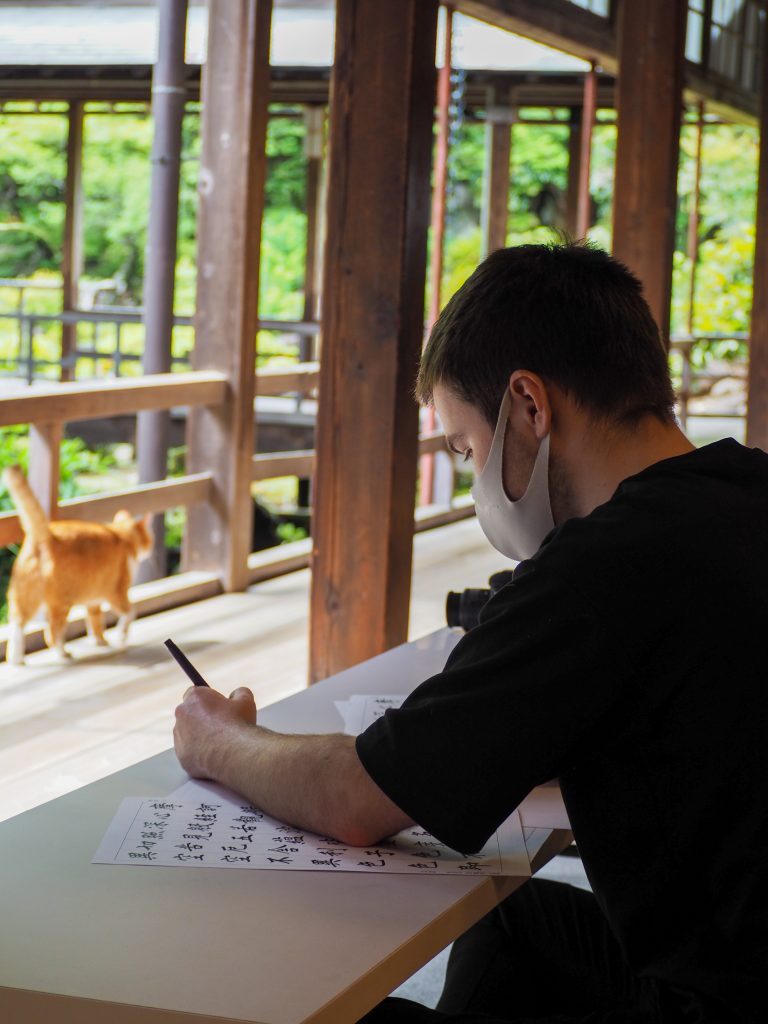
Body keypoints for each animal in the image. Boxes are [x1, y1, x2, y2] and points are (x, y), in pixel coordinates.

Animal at [2, 464, 153, 663]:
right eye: (149, 538)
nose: (150, 549)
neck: (122, 535)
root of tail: (48, 535)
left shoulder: (94, 601)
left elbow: (96, 623)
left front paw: (101, 641)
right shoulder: (116, 592)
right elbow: (130, 612)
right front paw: (121, 635)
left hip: (25, 597)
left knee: (17, 626)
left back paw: (16, 659)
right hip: (61, 603)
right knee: (51, 633)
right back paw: (63, 653)